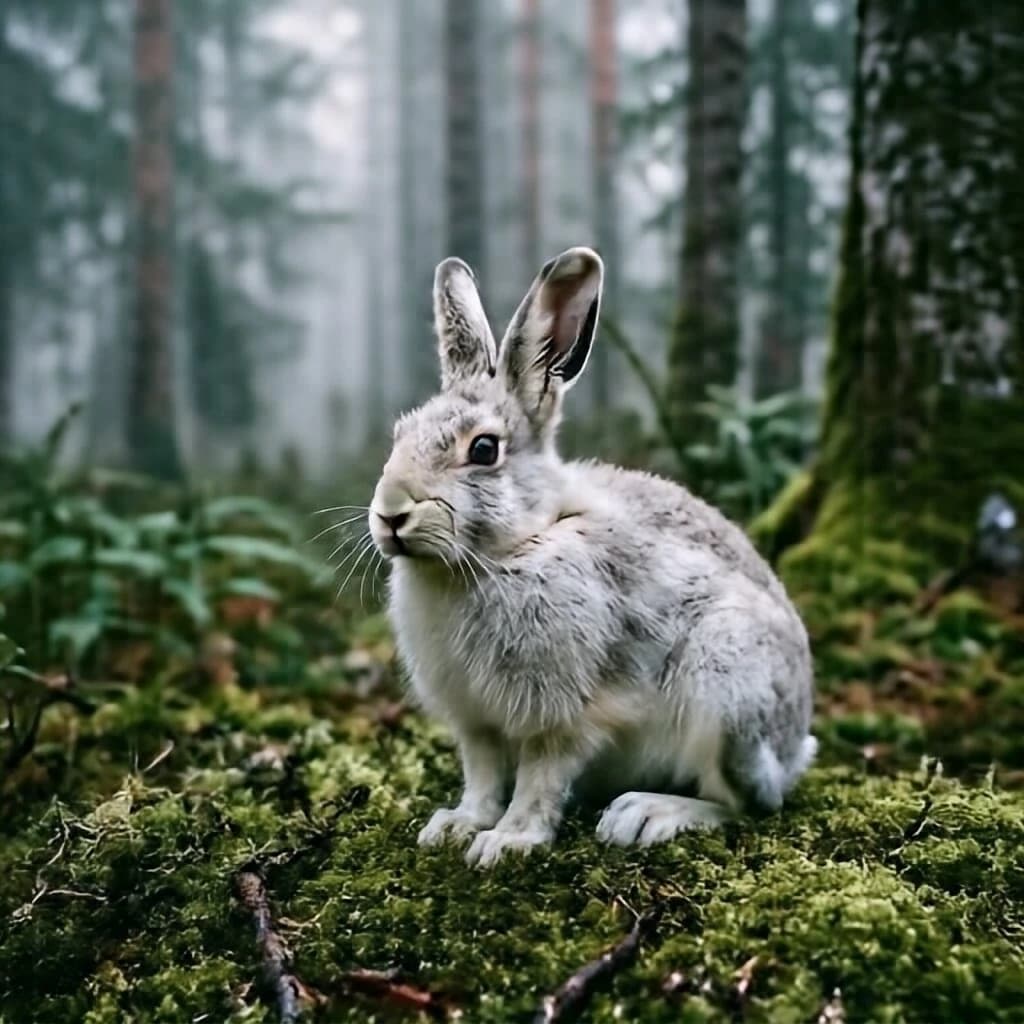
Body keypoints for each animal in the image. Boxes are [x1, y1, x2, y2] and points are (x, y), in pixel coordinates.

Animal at [368, 247, 817, 868]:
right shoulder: (475, 722)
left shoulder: (564, 714)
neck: (514, 547)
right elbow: (482, 775)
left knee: (748, 804)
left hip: (727, 689)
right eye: (399, 434)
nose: (389, 514)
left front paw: (506, 842)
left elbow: (540, 778)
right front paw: (457, 825)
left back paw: (648, 813)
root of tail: (797, 745)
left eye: (483, 449)